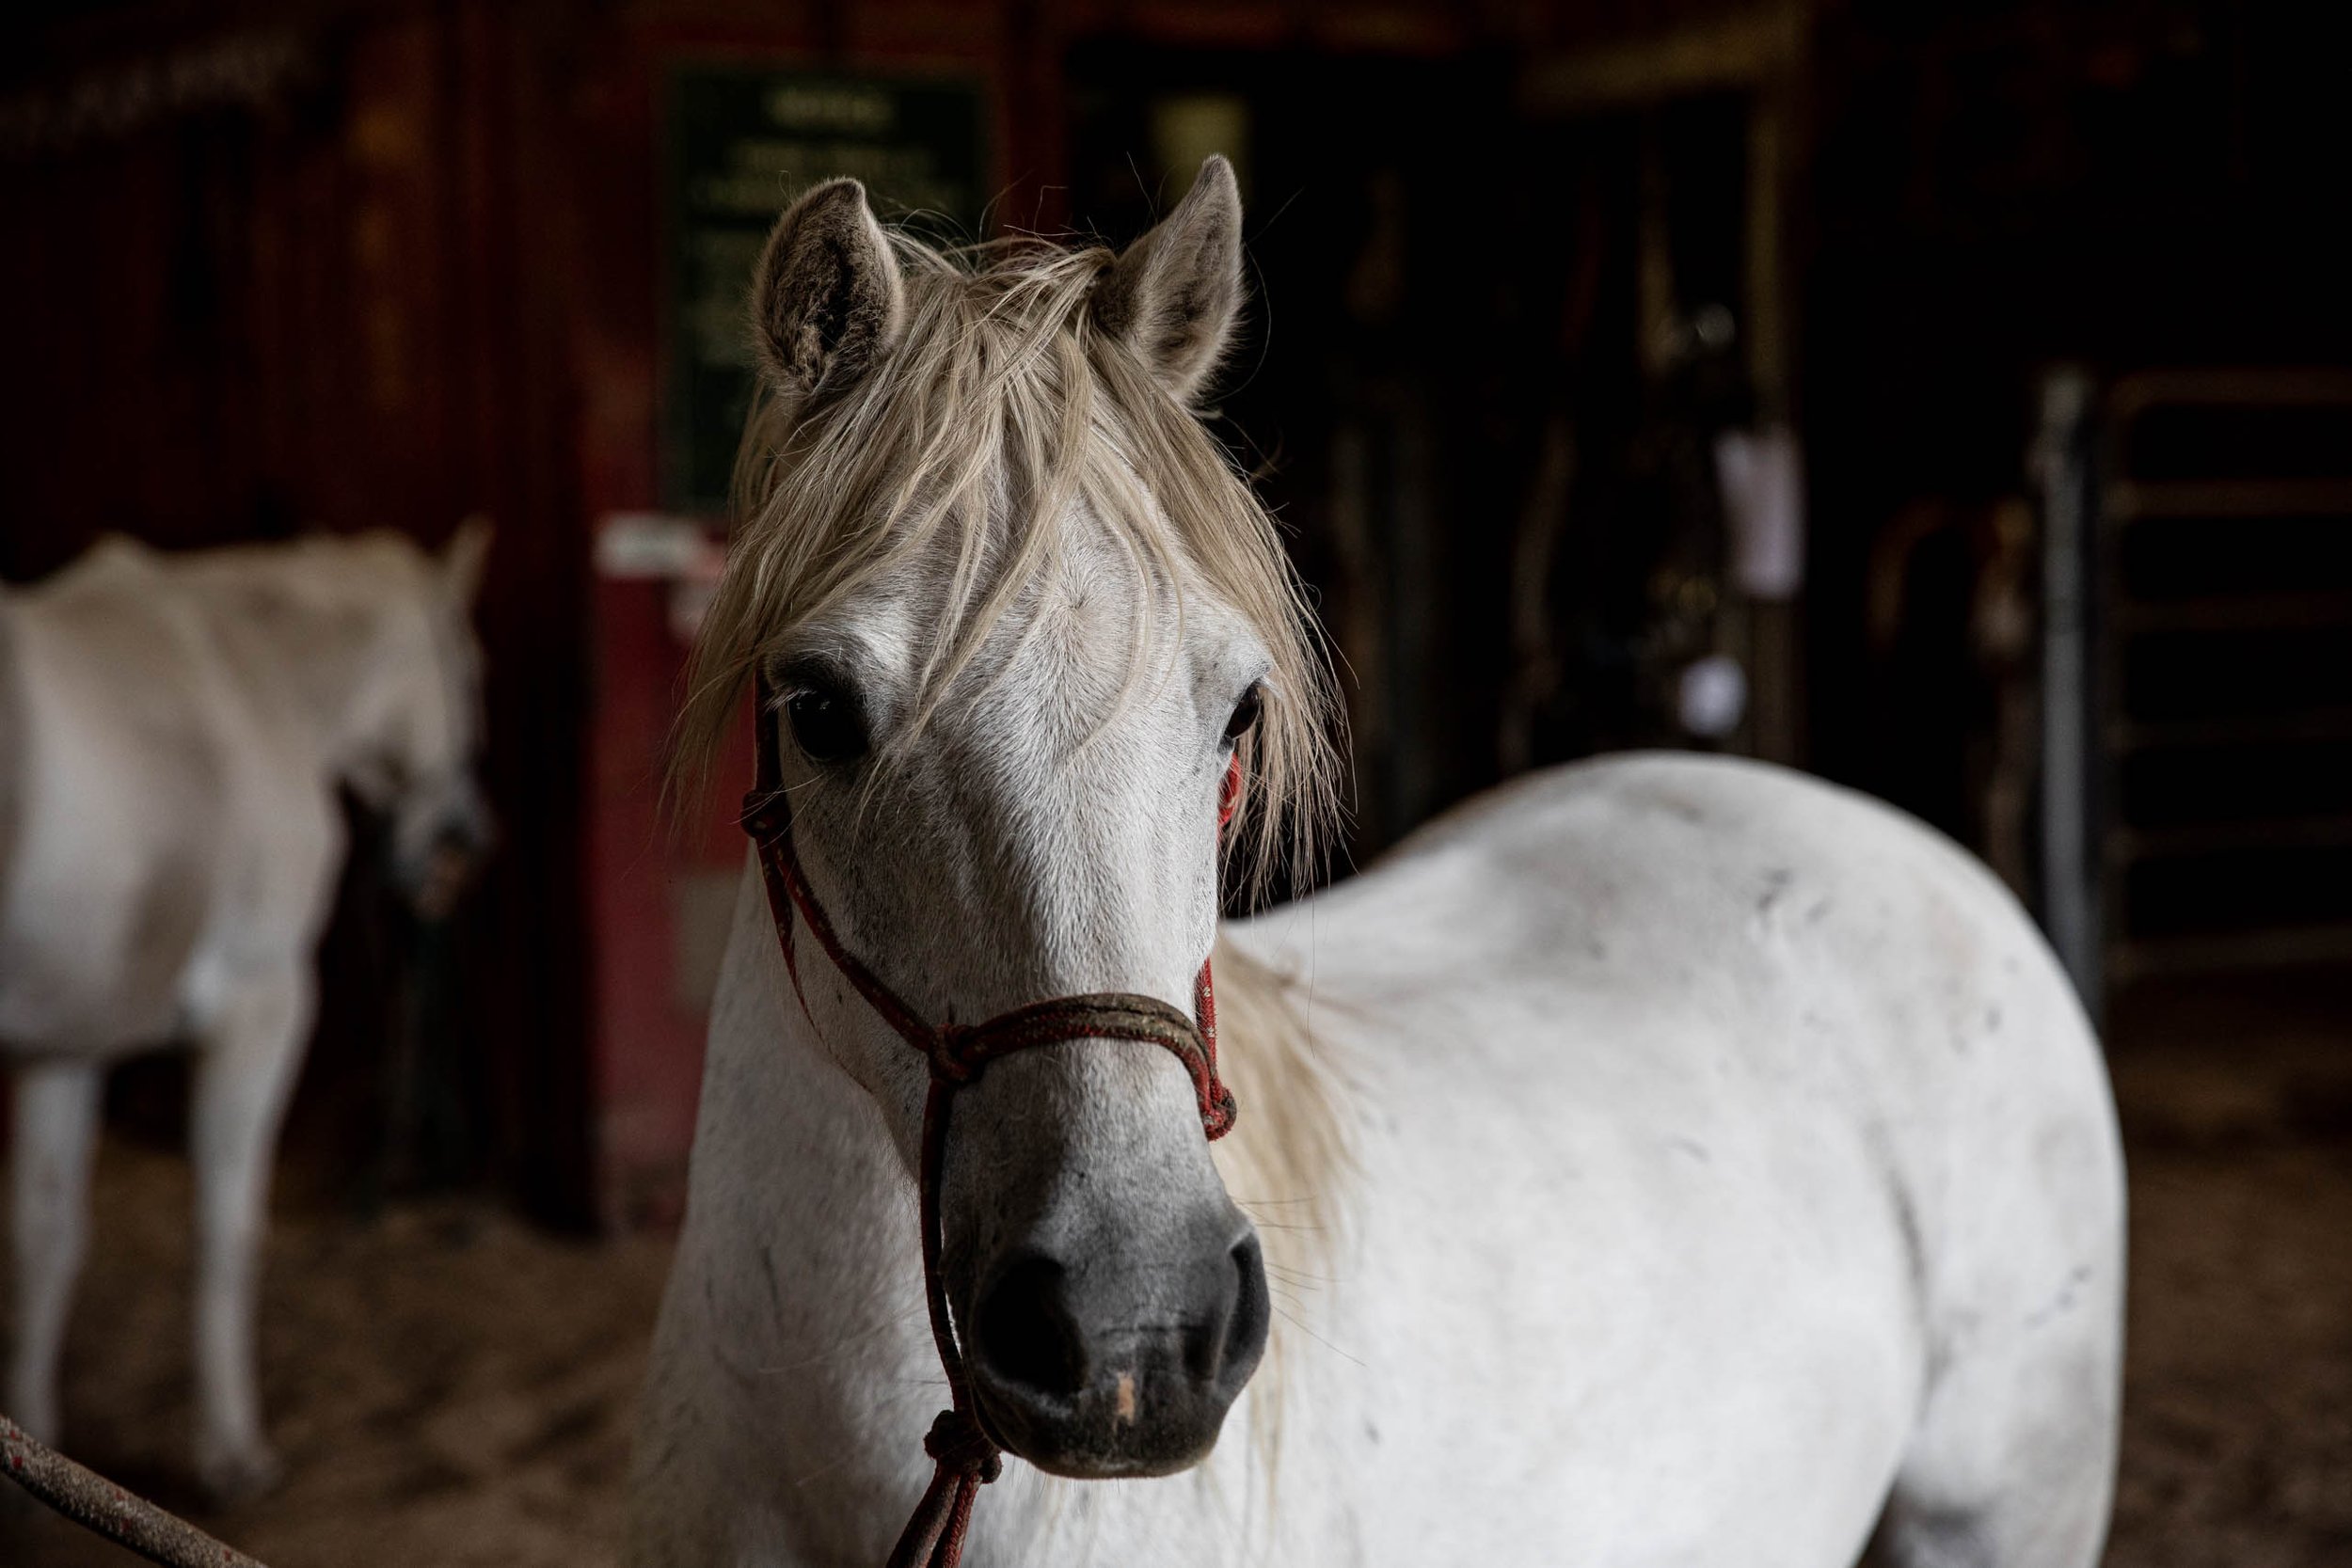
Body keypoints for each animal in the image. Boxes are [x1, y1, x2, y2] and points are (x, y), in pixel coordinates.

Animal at [0, 524, 489, 1495]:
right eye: (475, 672)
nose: (459, 844)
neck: (255, 674)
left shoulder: (67, 1037)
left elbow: (45, 1233)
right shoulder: (265, 1004)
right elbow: (224, 1222)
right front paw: (232, 1451)